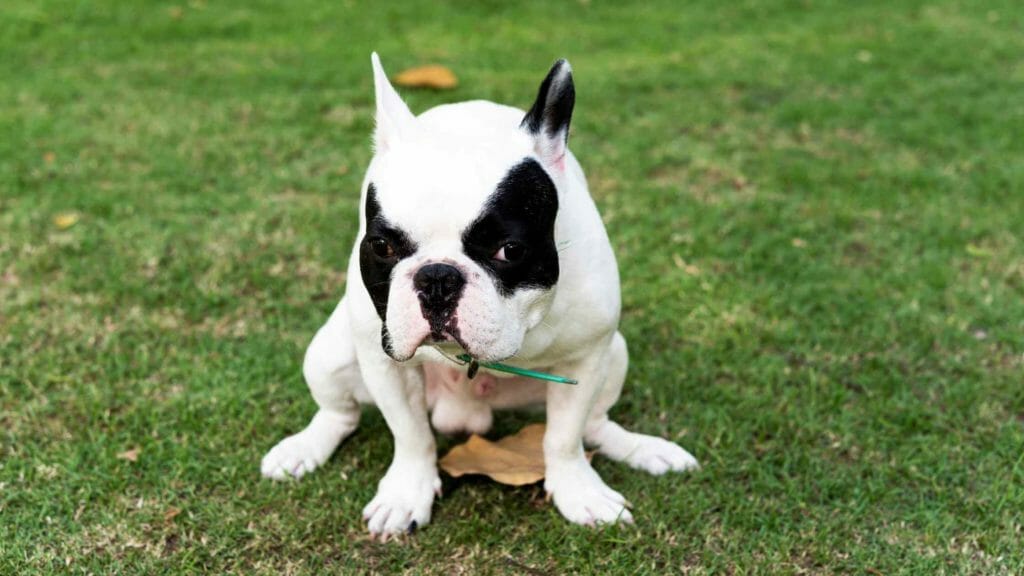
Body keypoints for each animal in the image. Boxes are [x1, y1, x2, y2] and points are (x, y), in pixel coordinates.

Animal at [260, 52, 700, 532]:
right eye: (381, 246)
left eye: (510, 250)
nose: (436, 277)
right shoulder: (385, 364)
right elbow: (411, 435)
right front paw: (406, 492)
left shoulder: (585, 360)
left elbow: (564, 438)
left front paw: (578, 491)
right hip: (329, 353)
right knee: (339, 413)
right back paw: (304, 448)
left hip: (614, 354)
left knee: (595, 424)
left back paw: (642, 449)